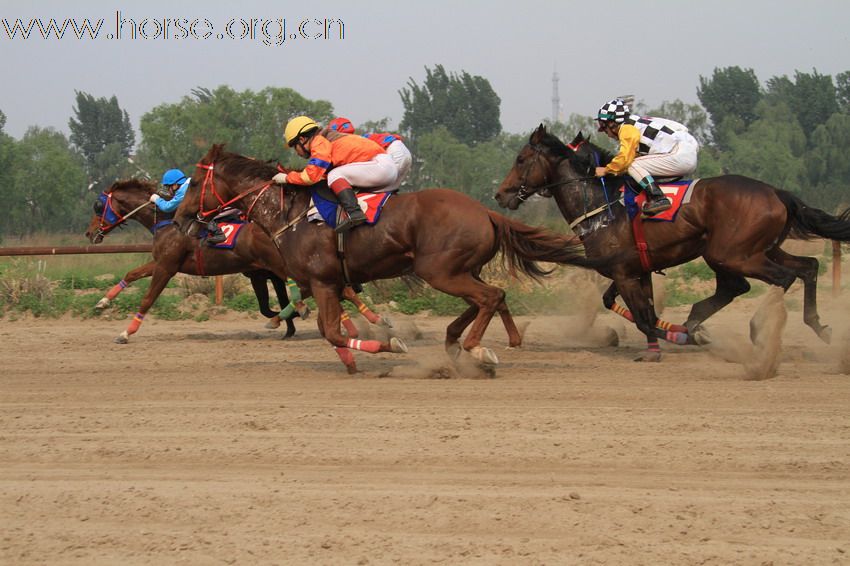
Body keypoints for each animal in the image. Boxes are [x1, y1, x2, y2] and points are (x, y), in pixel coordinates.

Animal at [83, 180, 380, 344]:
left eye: (98, 207)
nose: (89, 233)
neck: (168, 221)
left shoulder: (167, 267)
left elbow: (147, 299)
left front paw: (126, 332)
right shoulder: (164, 262)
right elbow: (132, 274)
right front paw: (102, 301)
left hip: (285, 265)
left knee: (339, 289)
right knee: (336, 290)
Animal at [171, 144, 596, 374]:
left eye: (195, 183)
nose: (179, 219)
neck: (289, 213)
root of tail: (486, 211)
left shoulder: (322, 281)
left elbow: (333, 331)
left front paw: (389, 346)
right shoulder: (326, 283)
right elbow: (330, 329)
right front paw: (351, 359)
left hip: (439, 270)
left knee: (488, 297)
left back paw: (477, 348)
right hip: (459, 269)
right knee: (490, 297)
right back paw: (460, 341)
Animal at [494, 126, 850, 362]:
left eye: (521, 158)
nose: (501, 194)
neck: (602, 204)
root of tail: (777, 192)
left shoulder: (624, 272)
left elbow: (643, 316)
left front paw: (665, 342)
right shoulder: (633, 269)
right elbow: (625, 306)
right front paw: (676, 334)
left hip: (731, 254)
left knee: (777, 278)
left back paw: (757, 330)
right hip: (759, 249)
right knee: (806, 268)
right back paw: (818, 326)